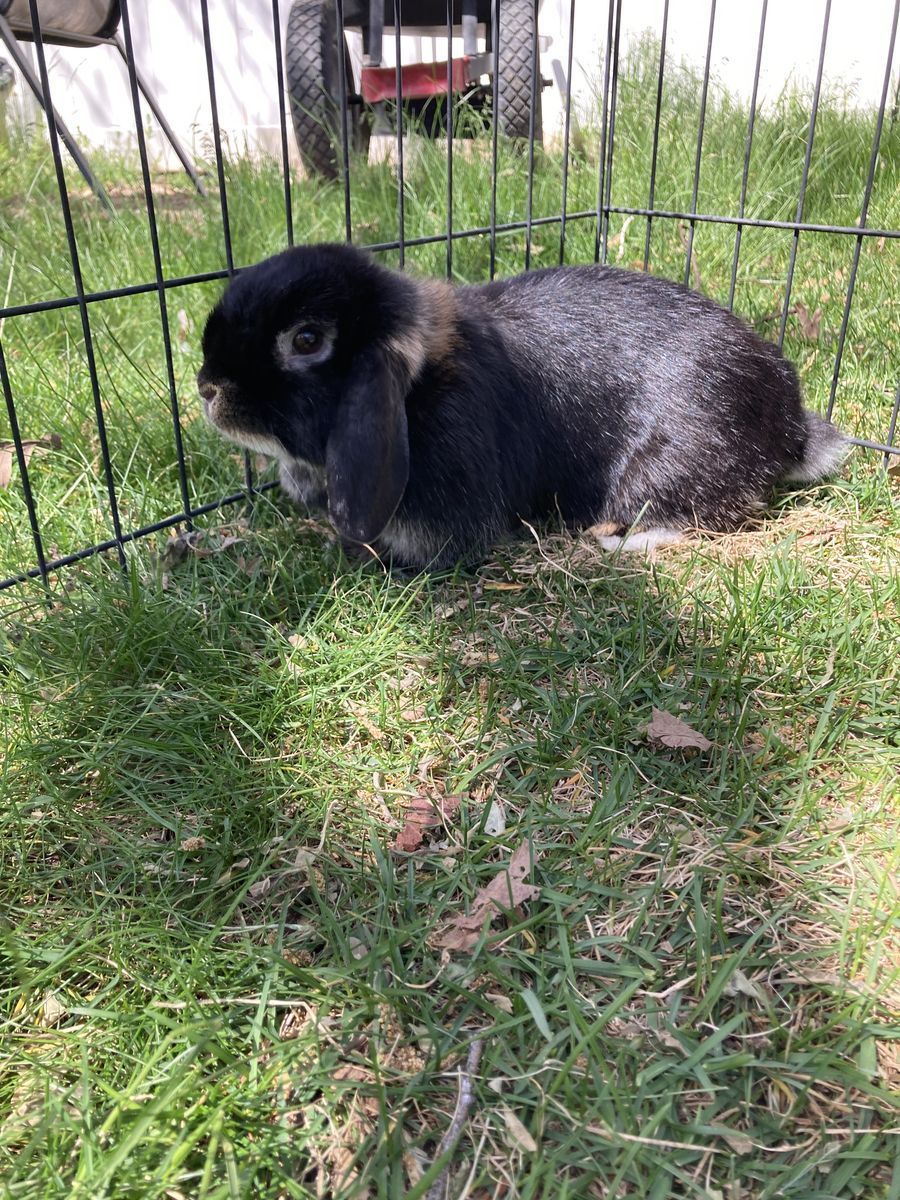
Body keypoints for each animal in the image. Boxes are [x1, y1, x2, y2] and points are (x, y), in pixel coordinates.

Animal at [197, 242, 847, 570]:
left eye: (307, 340)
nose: (207, 389)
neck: (420, 390)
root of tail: (790, 425)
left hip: (666, 470)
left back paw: (616, 541)